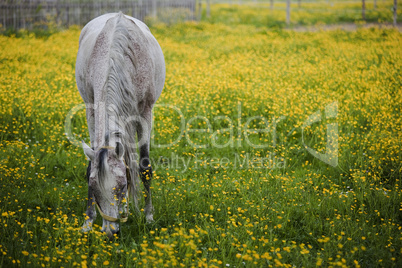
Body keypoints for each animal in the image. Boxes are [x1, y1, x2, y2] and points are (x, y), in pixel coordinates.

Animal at [75, 12, 165, 239]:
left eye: (122, 186)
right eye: (93, 187)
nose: (110, 232)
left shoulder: (145, 112)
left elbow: (144, 167)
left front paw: (149, 217)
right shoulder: (91, 109)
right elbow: (91, 164)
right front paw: (88, 221)